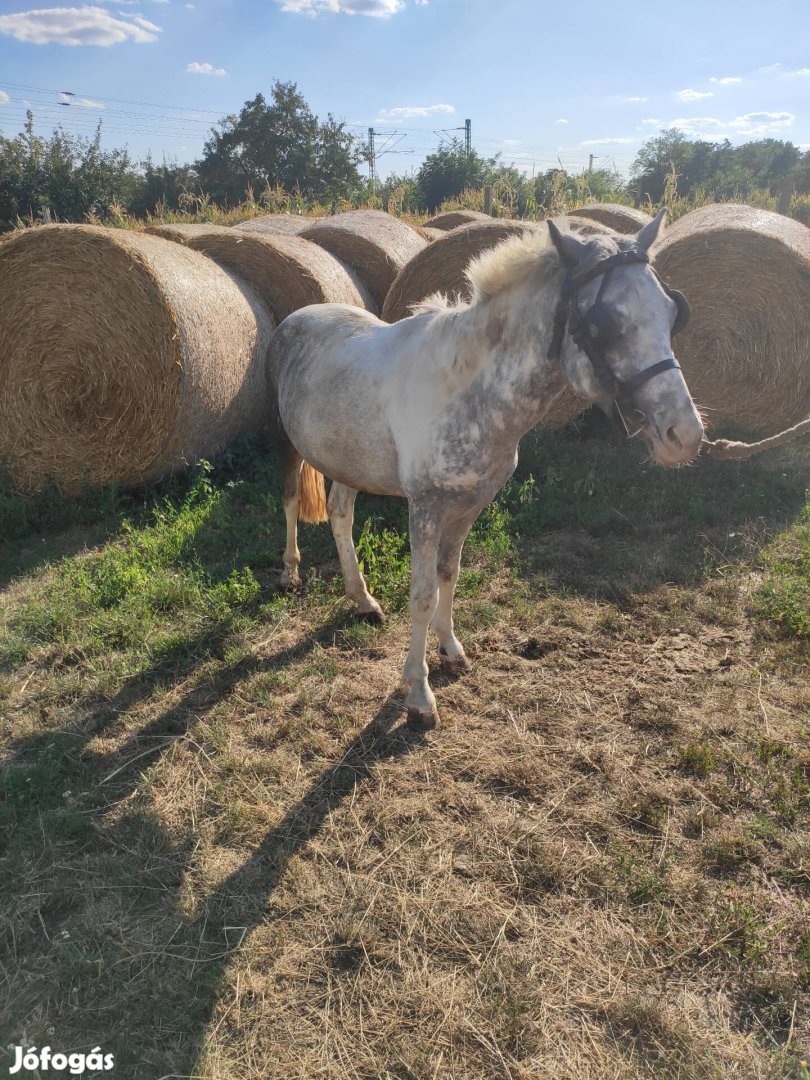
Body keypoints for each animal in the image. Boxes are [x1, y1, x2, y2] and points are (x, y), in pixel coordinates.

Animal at [264, 210, 704, 730]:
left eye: (673, 312)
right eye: (604, 322)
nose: (684, 434)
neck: (469, 390)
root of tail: (297, 317)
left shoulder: (470, 502)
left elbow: (449, 574)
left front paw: (450, 649)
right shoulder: (425, 507)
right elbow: (422, 594)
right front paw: (419, 695)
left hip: (348, 460)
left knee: (339, 513)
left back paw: (362, 599)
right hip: (285, 441)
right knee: (291, 498)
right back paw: (290, 572)